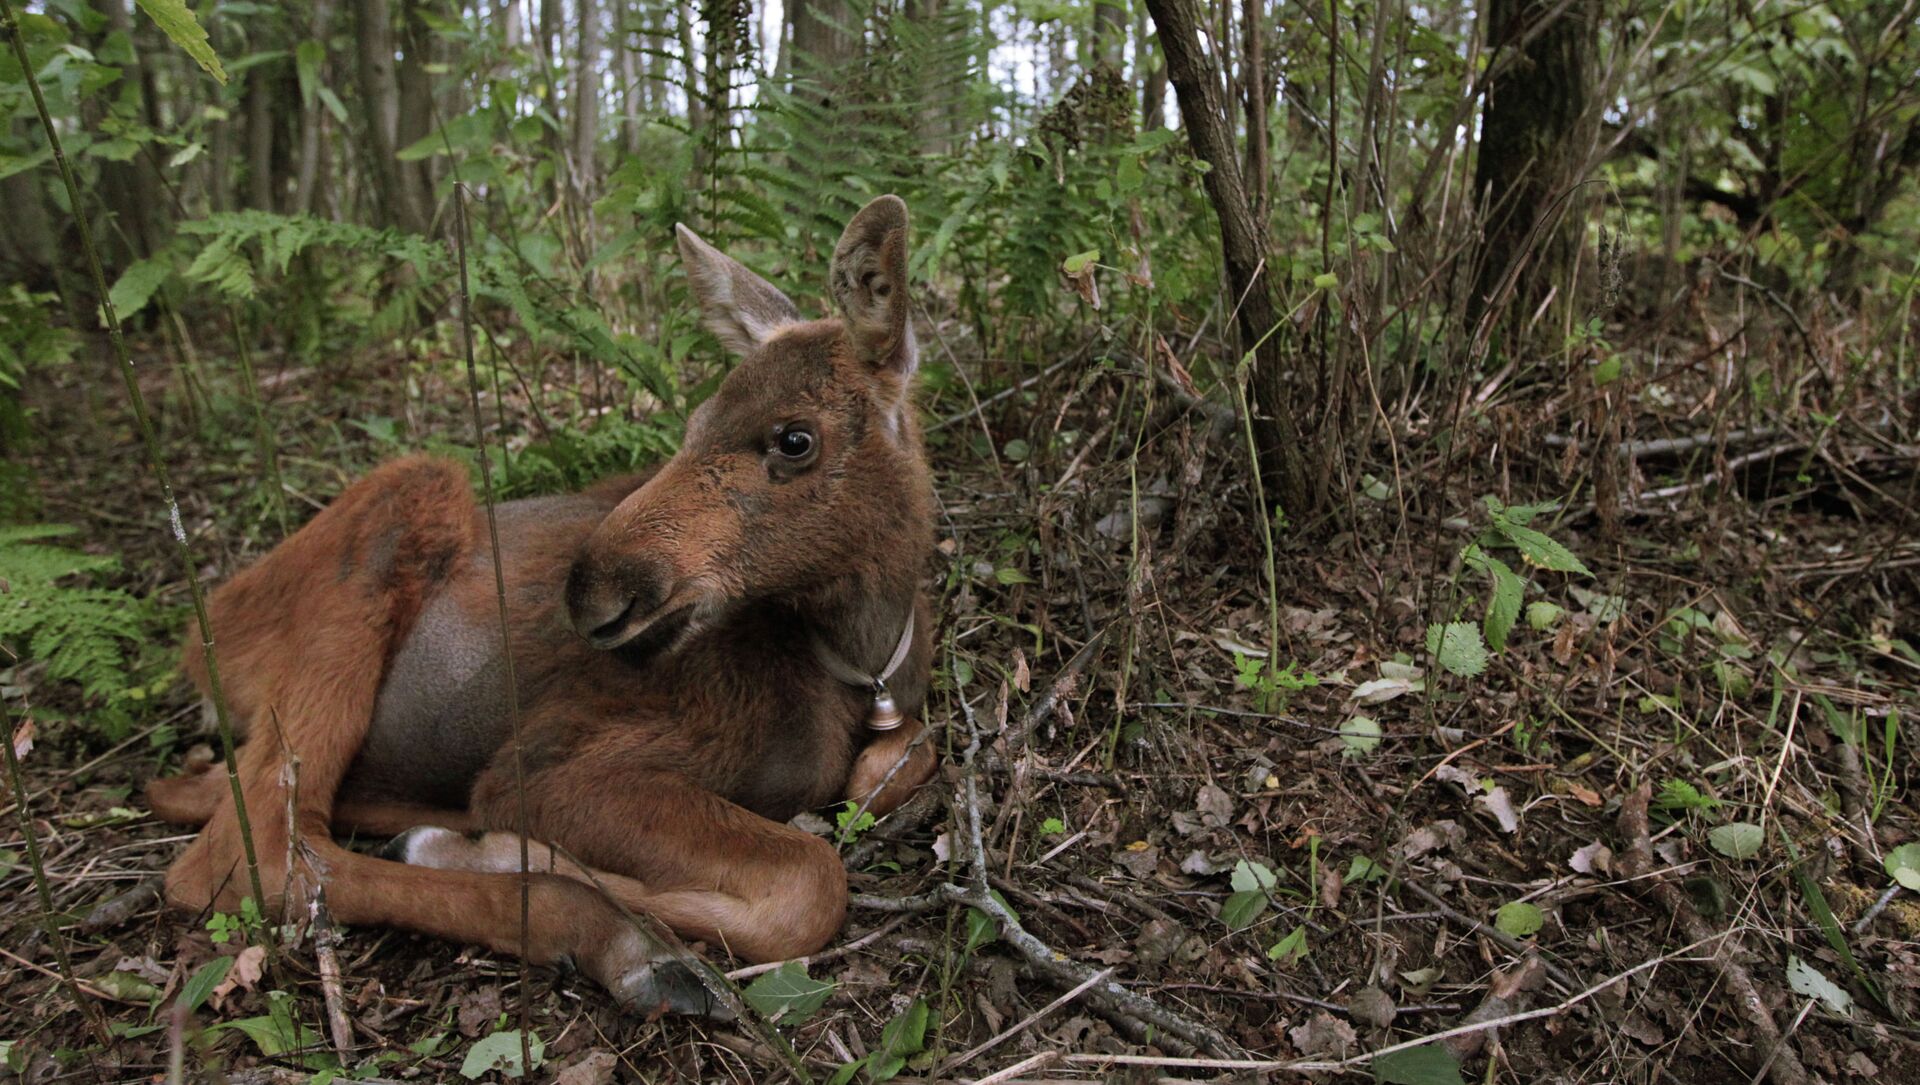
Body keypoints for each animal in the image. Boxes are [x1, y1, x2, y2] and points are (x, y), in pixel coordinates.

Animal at [144, 195, 940, 1014]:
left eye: (794, 439)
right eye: (691, 427)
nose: (592, 589)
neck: (861, 658)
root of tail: (198, 646)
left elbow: (910, 754)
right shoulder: (549, 768)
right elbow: (809, 882)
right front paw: (516, 857)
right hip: (410, 493)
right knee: (247, 856)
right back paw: (612, 935)